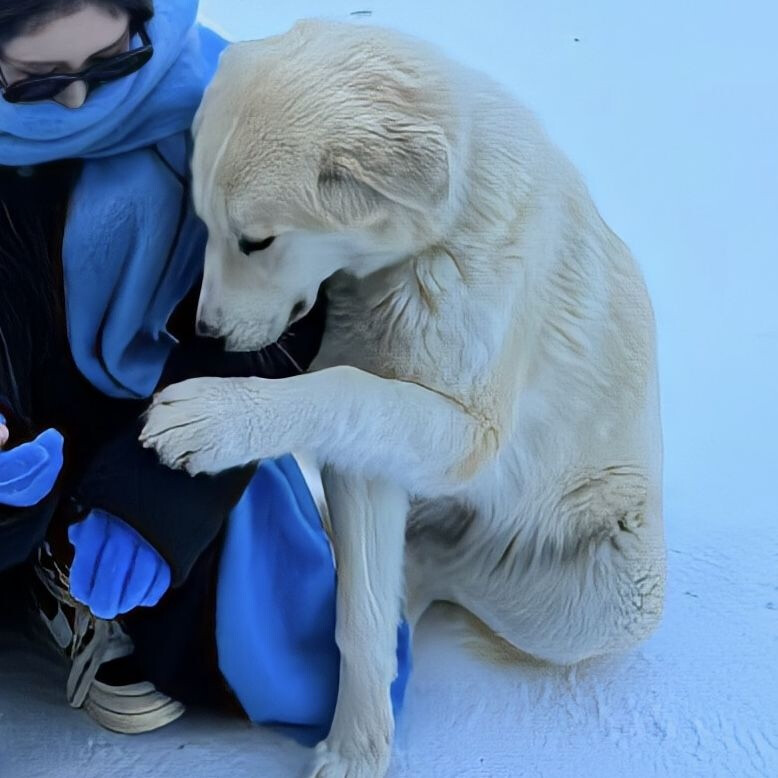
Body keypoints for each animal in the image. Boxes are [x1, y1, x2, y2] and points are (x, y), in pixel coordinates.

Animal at [142, 19, 664, 776]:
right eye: (204, 225)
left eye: (257, 240)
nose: (204, 331)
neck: (423, 250)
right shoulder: (368, 463)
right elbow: (356, 617)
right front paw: (358, 745)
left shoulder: (469, 432)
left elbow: (343, 386)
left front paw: (216, 415)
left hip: (611, 596)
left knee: (452, 570)